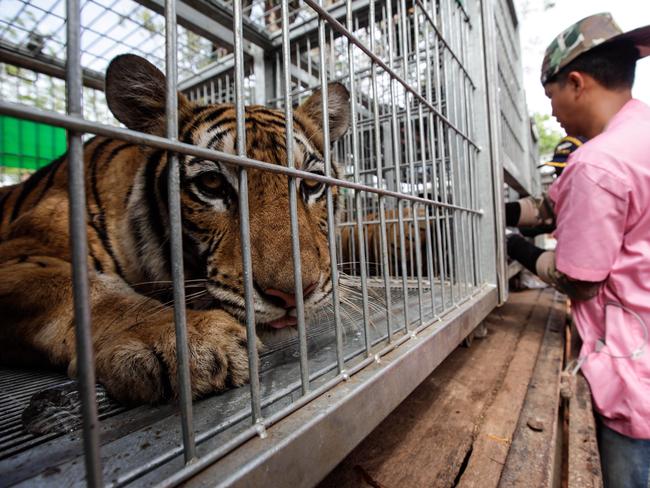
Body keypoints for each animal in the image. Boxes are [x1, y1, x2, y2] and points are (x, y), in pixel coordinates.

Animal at [0, 52, 350, 404]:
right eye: (212, 183)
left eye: (311, 184)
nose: (294, 295)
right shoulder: (22, 254)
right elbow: (92, 292)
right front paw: (184, 339)